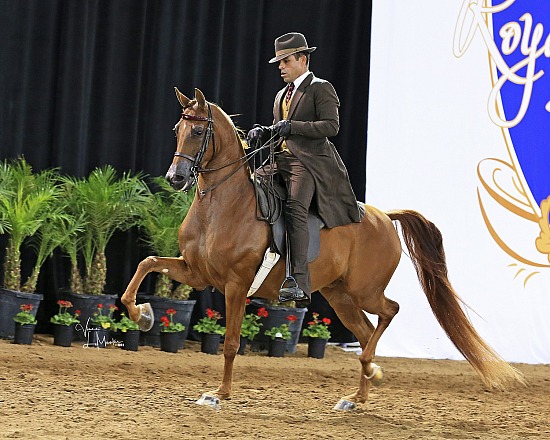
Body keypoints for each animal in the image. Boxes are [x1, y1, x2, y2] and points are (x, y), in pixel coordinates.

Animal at [123, 87, 528, 410]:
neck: (223, 206)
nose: (175, 178)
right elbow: (147, 263)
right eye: (177, 130)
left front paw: (218, 394)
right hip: (340, 295)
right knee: (365, 332)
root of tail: (384, 216)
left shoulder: (236, 284)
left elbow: (231, 343)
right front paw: (143, 315)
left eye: (197, 130)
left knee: (390, 311)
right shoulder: (197, 273)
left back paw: (371, 370)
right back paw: (358, 394)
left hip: (364, 290)